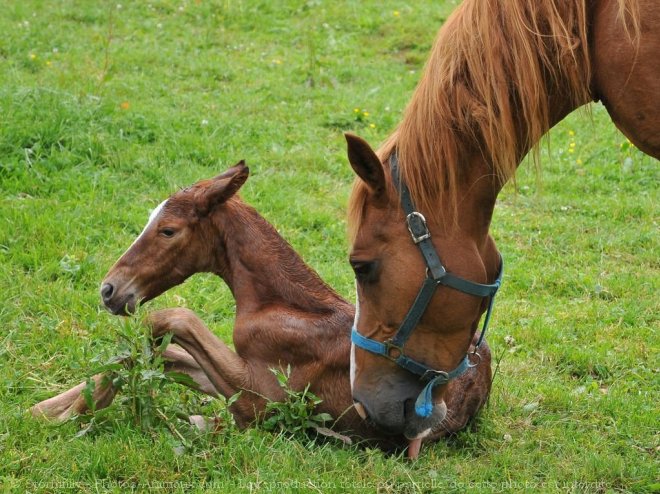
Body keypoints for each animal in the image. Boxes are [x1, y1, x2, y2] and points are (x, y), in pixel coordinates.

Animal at [33, 163, 492, 460]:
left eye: (168, 230)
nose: (110, 290)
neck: (281, 304)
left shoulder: (260, 400)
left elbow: (170, 319)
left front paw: (73, 413)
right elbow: (166, 355)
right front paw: (48, 409)